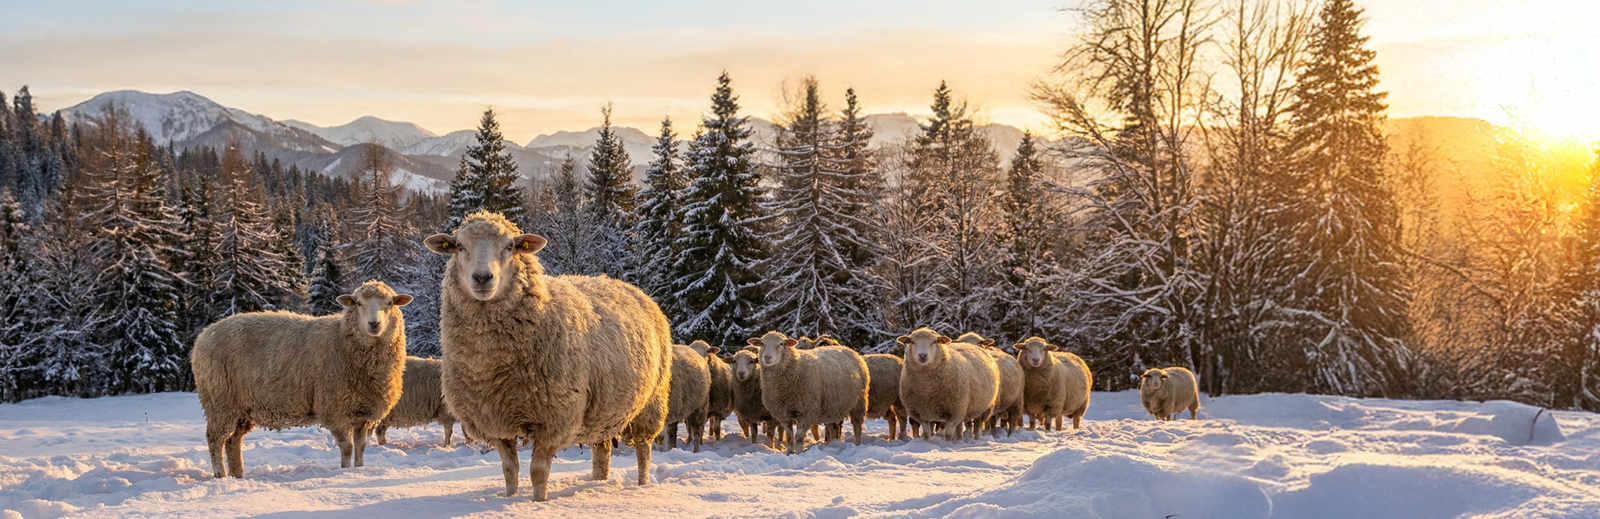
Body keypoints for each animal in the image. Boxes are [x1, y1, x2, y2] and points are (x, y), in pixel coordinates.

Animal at [192, 280, 412, 478]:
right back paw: (221, 475)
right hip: (219, 402)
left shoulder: (363, 413)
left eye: (390, 303)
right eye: (358, 303)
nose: (374, 324)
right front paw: (344, 471)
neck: (342, 338)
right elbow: (347, 448)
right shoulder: (335, 409)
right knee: (215, 439)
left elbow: (360, 448)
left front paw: (358, 470)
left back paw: (238, 475)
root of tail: (203, 335)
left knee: (233, 441)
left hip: (240, 407)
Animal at [425, 211, 673, 501]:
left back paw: (642, 486)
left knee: (644, 450)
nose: (483, 278)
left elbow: (538, 471)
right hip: (604, 408)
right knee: (602, 451)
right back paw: (597, 482)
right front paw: (510, 498)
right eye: (460, 247)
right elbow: (510, 469)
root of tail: (620, 283)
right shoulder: (494, 419)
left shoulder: (555, 418)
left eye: (510, 246)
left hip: (650, 403)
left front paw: (537, 502)